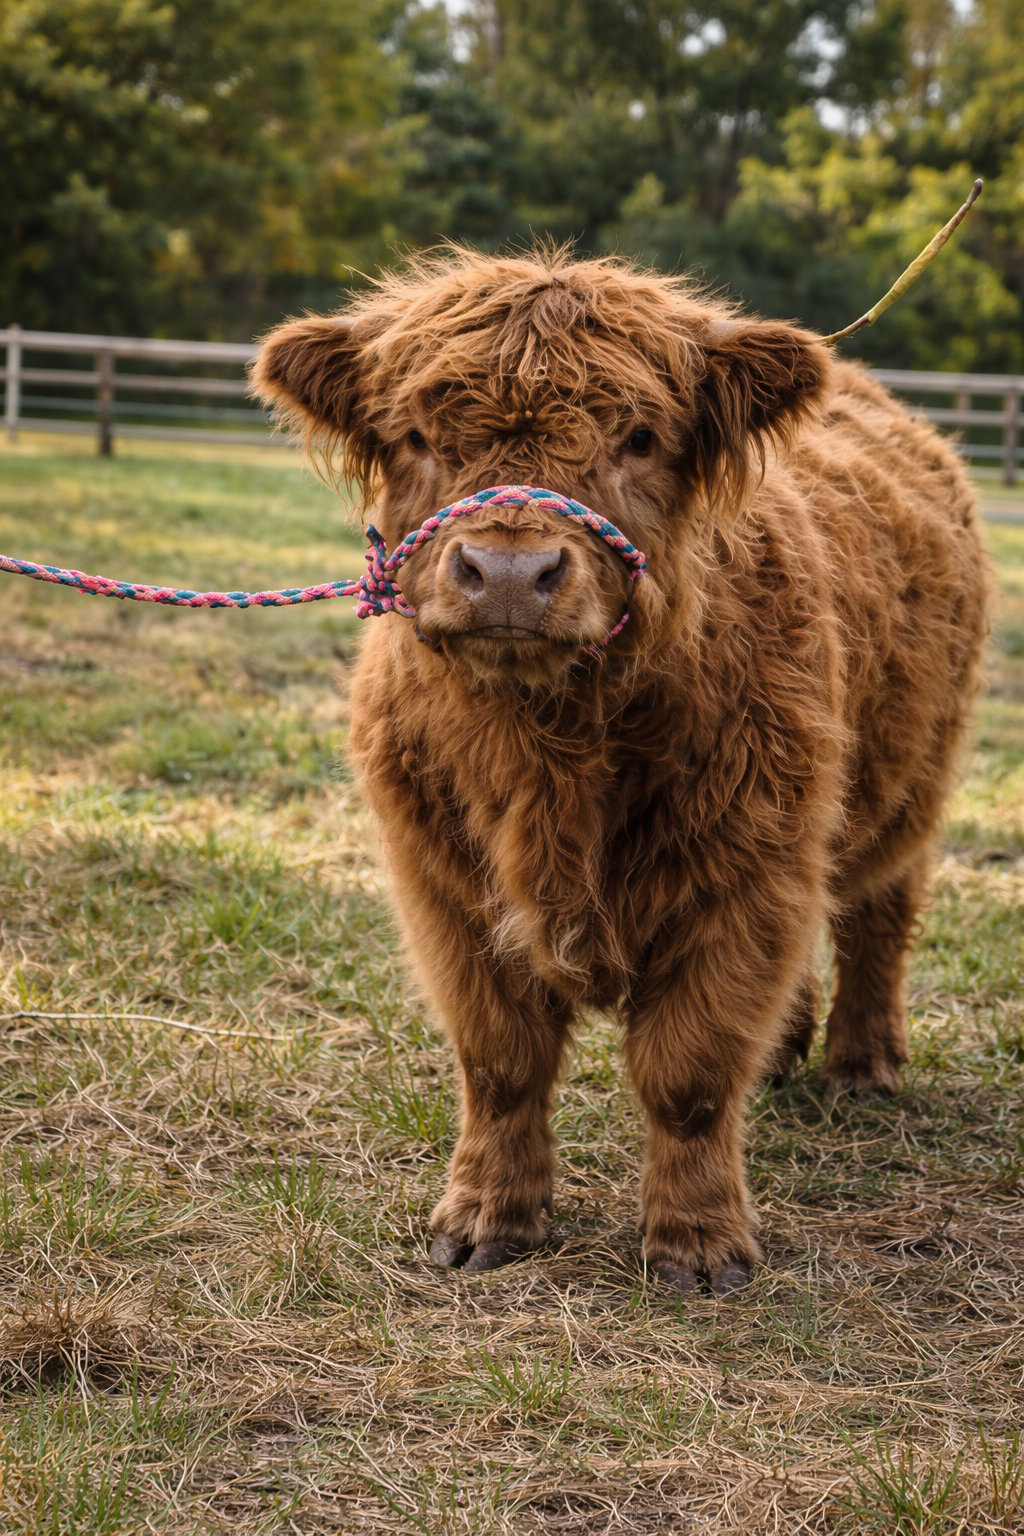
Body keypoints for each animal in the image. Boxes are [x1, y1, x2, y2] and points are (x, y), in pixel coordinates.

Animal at [252, 250, 987, 1294]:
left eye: (639, 437)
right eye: (416, 436)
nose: (508, 575)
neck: (549, 749)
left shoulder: (743, 876)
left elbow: (689, 1072)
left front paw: (699, 1246)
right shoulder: (445, 886)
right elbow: (501, 1061)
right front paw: (485, 1219)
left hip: (907, 785)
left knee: (878, 914)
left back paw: (862, 1064)